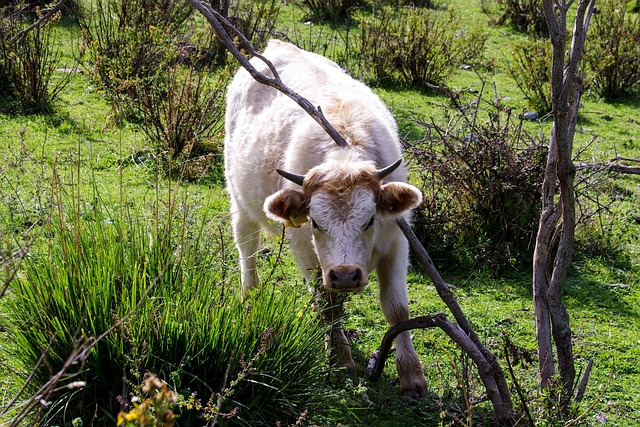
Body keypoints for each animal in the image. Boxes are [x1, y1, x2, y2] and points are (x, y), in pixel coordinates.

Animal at [222, 40, 428, 398]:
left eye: (369, 220)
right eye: (317, 223)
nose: (345, 275)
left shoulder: (397, 242)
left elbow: (397, 309)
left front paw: (412, 376)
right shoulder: (305, 248)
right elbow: (330, 307)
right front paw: (340, 362)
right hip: (239, 200)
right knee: (247, 246)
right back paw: (250, 294)